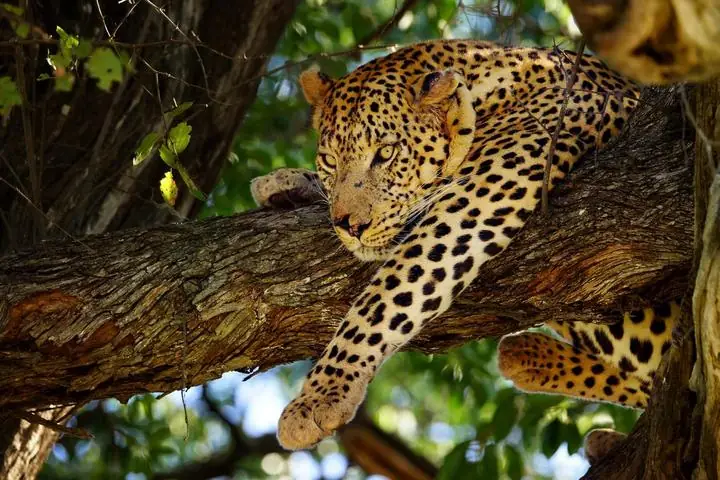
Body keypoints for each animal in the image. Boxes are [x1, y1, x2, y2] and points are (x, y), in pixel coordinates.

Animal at [249, 39, 679, 453]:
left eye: (386, 153)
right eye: (330, 161)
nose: (351, 226)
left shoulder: (481, 192)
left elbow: (386, 296)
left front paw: (321, 395)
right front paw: (283, 182)